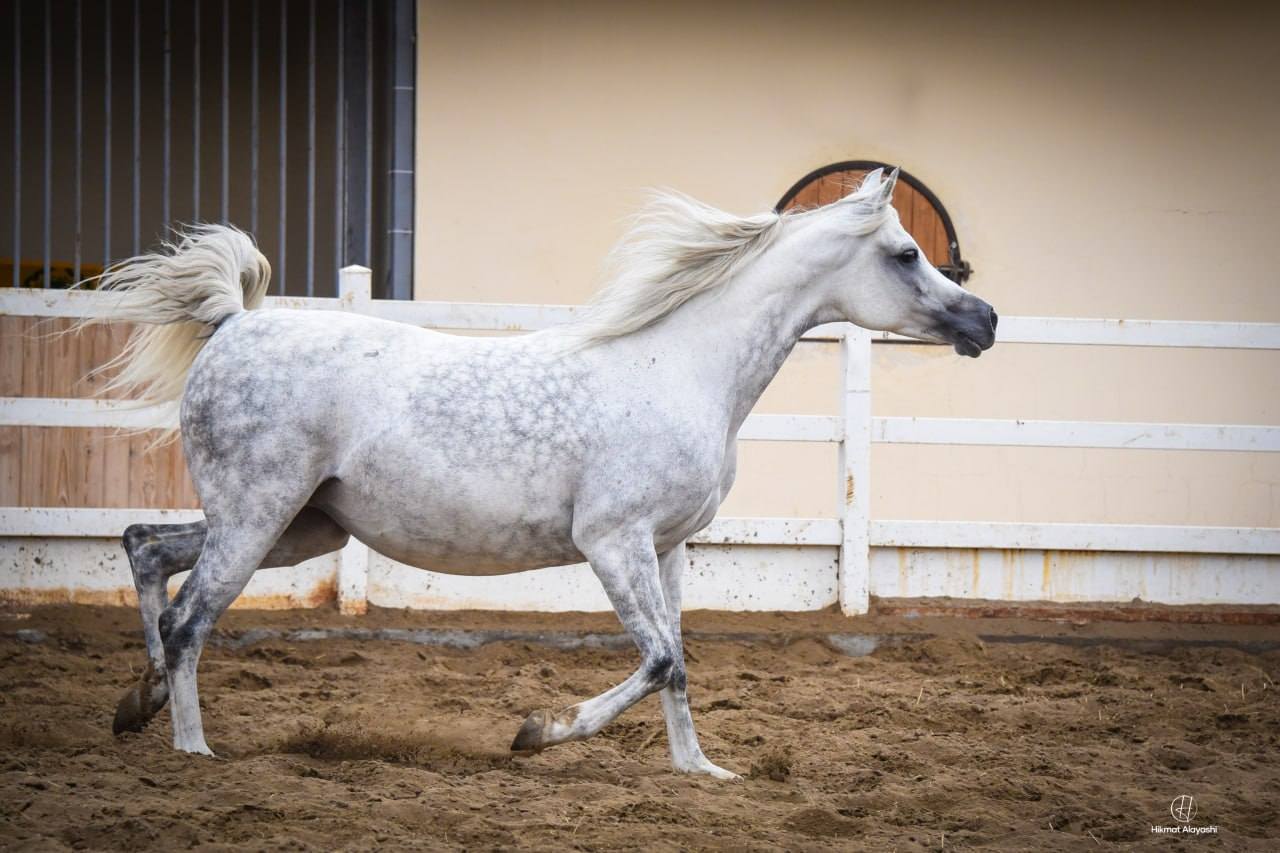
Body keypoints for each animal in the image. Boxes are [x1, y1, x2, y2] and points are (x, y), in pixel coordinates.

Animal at [101, 168, 996, 780]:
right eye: (906, 252)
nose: (985, 321)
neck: (683, 367)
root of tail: (233, 323)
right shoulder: (611, 540)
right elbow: (658, 658)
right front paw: (537, 730)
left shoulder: (667, 546)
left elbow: (679, 657)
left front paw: (700, 769)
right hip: (259, 516)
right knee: (188, 617)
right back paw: (192, 748)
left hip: (299, 526)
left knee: (146, 546)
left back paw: (138, 704)